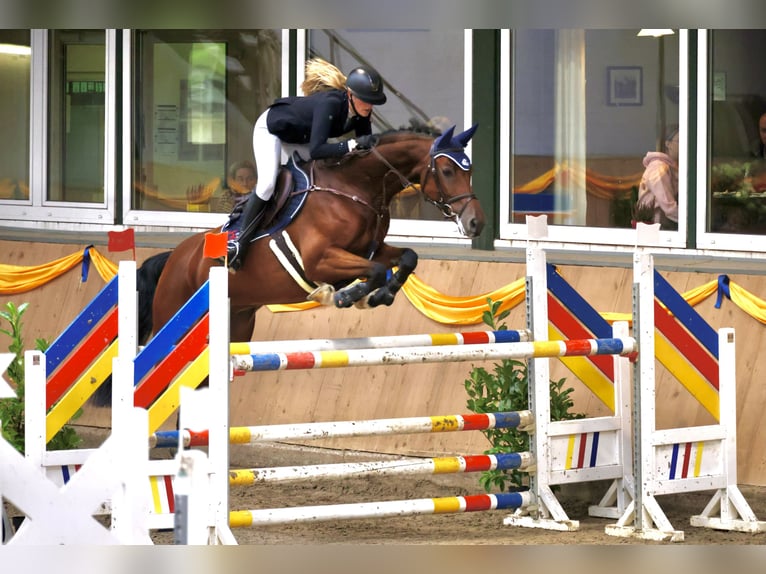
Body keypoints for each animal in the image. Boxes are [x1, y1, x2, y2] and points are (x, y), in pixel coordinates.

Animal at [91, 125, 485, 406]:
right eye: (447, 170)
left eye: (469, 171)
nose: (476, 224)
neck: (356, 188)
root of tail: (174, 257)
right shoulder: (320, 260)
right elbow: (369, 272)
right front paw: (347, 296)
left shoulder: (371, 250)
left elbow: (406, 257)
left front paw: (379, 295)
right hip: (172, 324)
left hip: (235, 325)